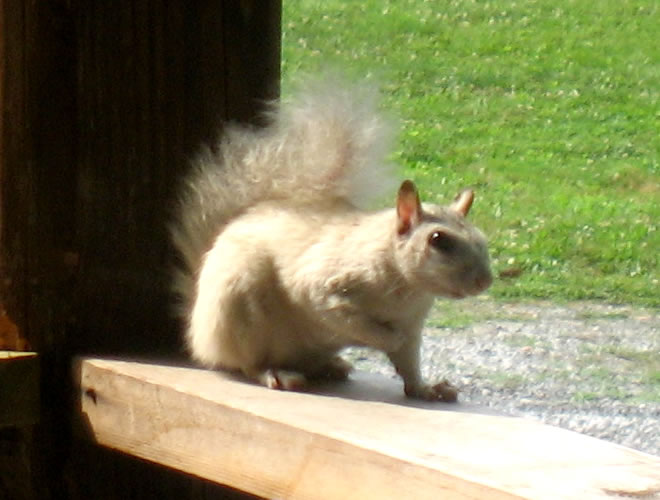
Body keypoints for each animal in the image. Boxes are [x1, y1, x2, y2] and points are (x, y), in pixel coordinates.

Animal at [173, 76, 492, 400]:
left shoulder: (414, 324)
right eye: (438, 239)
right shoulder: (325, 285)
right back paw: (275, 372)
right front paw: (389, 338)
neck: (407, 287)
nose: (484, 281)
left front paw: (427, 388)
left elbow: (409, 365)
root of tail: (200, 330)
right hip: (240, 311)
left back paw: (331, 365)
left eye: (482, 239)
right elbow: (349, 318)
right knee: (247, 363)